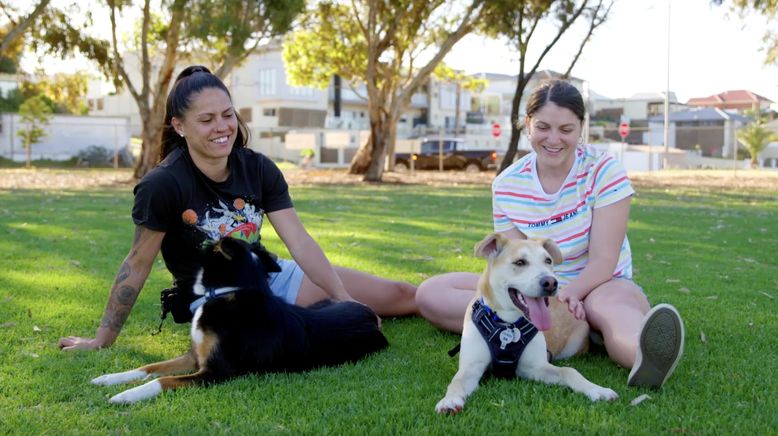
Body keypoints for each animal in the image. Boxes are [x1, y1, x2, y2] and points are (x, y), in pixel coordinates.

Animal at [91, 237, 388, 404]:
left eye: (208, 245)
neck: (228, 292)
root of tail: (369, 315)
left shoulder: (216, 371)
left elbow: (162, 381)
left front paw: (126, 396)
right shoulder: (195, 356)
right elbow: (150, 367)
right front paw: (109, 378)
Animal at [434, 233, 616, 414]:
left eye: (548, 260)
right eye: (520, 262)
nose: (551, 283)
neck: (508, 323)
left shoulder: (536, 367)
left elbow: (569, 371)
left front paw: (597, 390)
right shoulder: (471, 367)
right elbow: (456, 381)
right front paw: (449, 400)